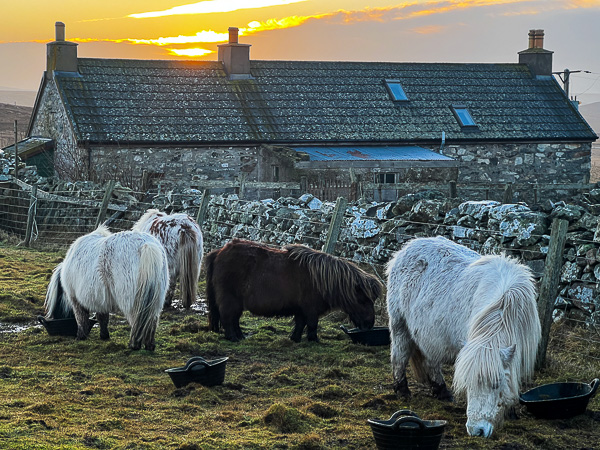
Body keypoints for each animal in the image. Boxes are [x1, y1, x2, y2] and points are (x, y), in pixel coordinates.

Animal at [204, 239, 382, 342]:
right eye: (363, 300)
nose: (369, 325)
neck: (322, 278)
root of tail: (219, 252)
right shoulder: (310, 309)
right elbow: (312, 324)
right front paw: (313, 340)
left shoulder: (301, 309)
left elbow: (300, 324)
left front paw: (295, 338)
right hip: (230, 299)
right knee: (228, 318)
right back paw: (233, 338)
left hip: (237, 302)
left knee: (234, 319)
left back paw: (240, 337)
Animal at [386, 237, 540, 438]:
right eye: (468, 384)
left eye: (495, 384)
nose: (476, 431)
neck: (507, 304)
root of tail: (406, 248)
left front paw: (511, 412)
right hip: (400, 326)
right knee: (399, 357)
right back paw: (403, 391)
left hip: (429, 334)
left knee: (431, 362)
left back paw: (441, 392)